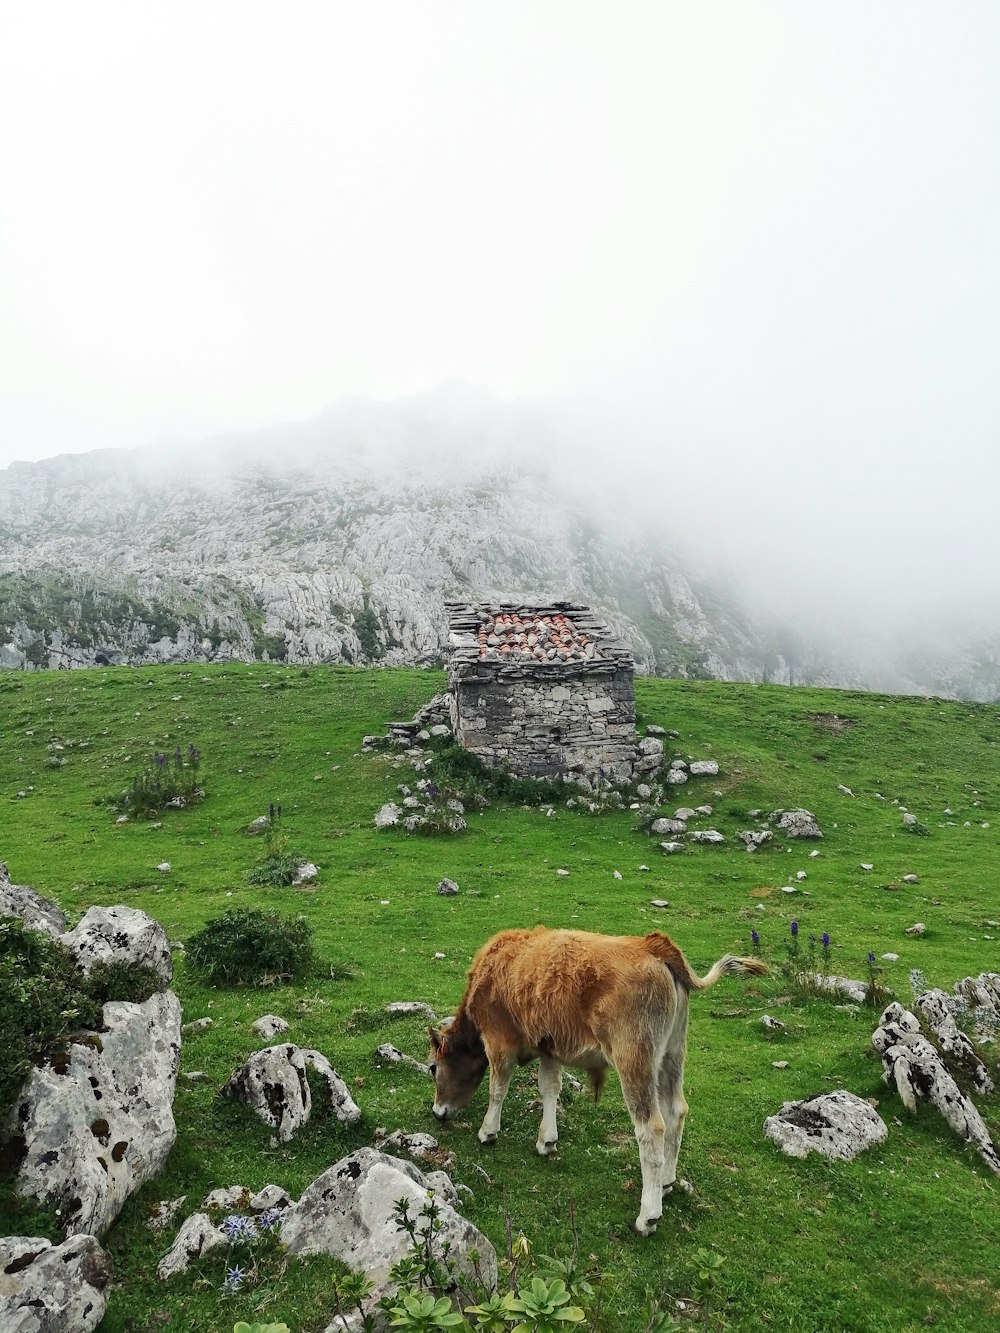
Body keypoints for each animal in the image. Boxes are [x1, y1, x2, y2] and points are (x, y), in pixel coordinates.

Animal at [429, 927, 768, 1226]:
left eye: (433, 1068)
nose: (437, 1112)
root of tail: (654, 946)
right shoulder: (550, 1048)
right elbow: (549, 1089)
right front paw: (547, 1140)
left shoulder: (499, 1041)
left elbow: (497, 1088)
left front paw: (488, 1131)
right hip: (671, 1056)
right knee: (676, 1113)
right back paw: (666, 1183)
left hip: (635, 1061)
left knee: (652, 1127)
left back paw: (648, 1215)